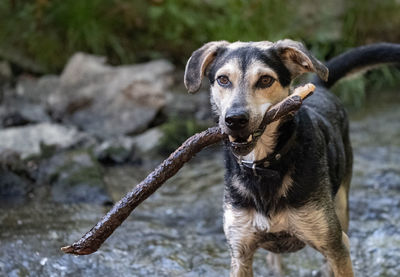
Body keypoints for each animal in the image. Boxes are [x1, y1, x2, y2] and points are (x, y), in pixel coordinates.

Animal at [184, 39, 400, 276]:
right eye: (223, 79)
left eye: (265, 80)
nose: (235, 119)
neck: (264, 166)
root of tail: (319, 87)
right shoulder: (240, 252)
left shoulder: (336, 246)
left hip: (342, 205)